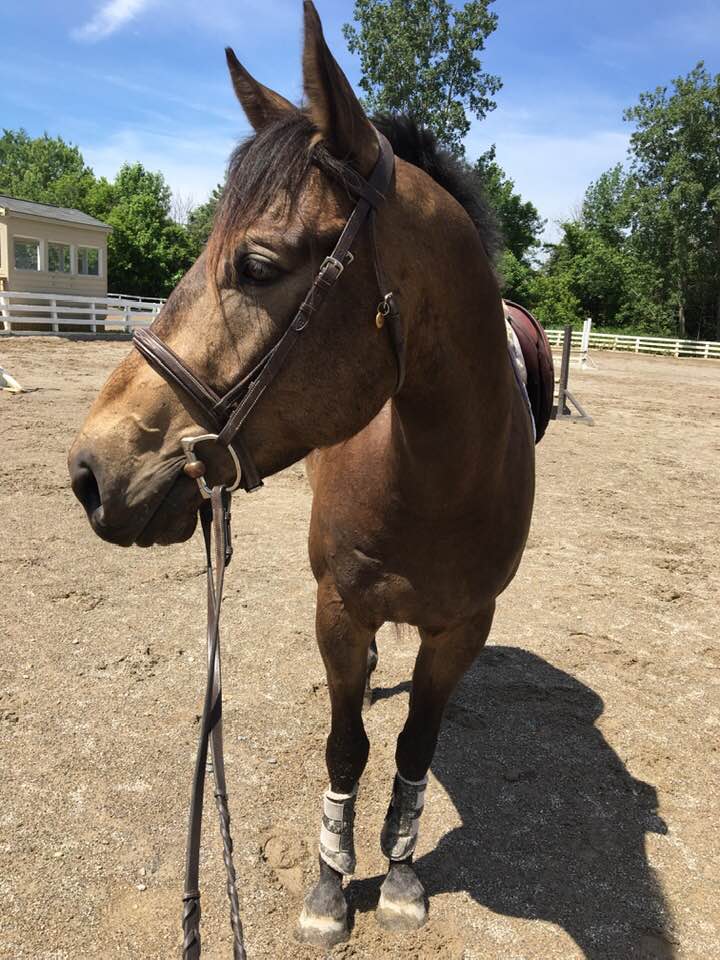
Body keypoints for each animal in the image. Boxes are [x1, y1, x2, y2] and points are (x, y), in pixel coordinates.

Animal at [69, 0, 540, 944]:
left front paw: (399, 873)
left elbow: (415, 747)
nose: (94, 469)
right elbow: (346, 746)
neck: (438, 481)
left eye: (254, 265)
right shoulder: (338, 610)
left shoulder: (462, 629)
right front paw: (330, 885)